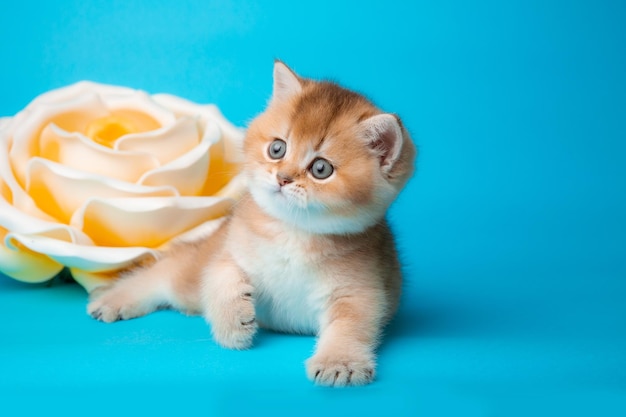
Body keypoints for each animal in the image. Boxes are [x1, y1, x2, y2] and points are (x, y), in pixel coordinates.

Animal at [86, 61, 414, 386]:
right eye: (277, 149)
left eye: (321, 169)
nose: (283, 178)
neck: (292, 233)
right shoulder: (228, 250)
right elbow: (220, 276)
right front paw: (232, 322)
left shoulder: (360, 289)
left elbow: (351, 325)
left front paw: (339, 362)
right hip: (189, 275)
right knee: (163, 273)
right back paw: (113, 300)